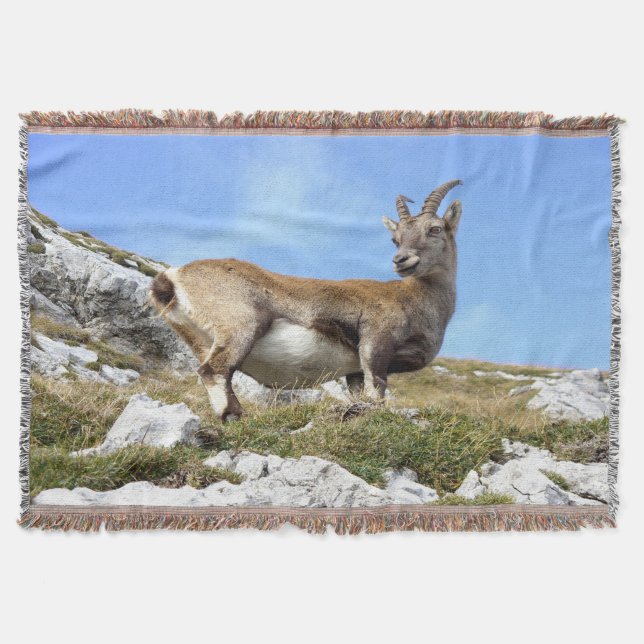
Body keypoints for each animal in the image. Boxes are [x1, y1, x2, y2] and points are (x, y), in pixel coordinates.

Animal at [151, 180, 463, 420]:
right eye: (395, 239)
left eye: (435, 229)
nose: (401, 260)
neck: (415, 299)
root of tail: (174, 276)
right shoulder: (375, 344)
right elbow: (377, 390)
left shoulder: (354, 370)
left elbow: (359, 394)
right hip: (241, 325)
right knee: (213, 370)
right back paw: (234, 417)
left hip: (200, 340)